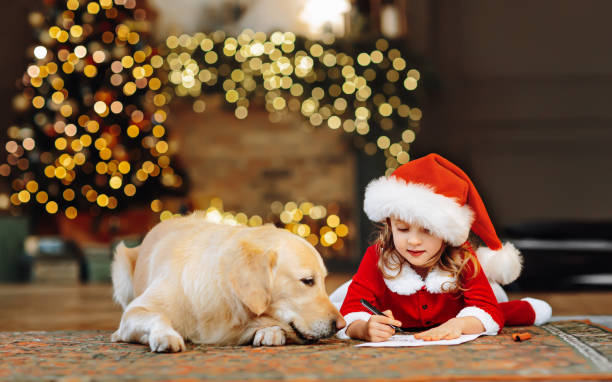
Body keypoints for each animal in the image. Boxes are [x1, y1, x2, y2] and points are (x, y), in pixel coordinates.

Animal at [111, 212, 344, 352]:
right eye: (307, 281)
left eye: (323, 281)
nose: (341, 324)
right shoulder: (134, 311)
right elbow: (157, 317)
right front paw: (165, 335)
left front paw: (270, 331)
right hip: (121, 262)